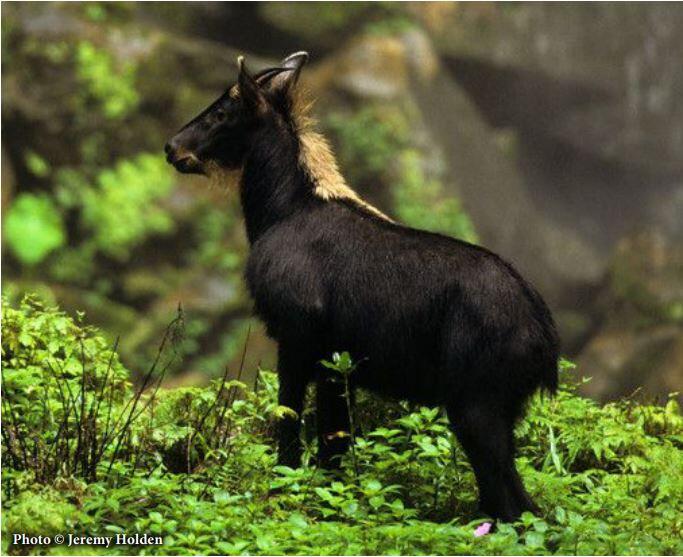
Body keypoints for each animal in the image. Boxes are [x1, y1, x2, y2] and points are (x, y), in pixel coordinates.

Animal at [167, 52, 560, 520]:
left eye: (224, 110)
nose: (173, 146)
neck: (281, 210)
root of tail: (544, 340)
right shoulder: (338, 365)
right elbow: (334, 446)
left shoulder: (296, 337)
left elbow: (290, 423)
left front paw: (283, 492)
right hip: (500, 407)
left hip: (476, 404)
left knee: (512, 502)